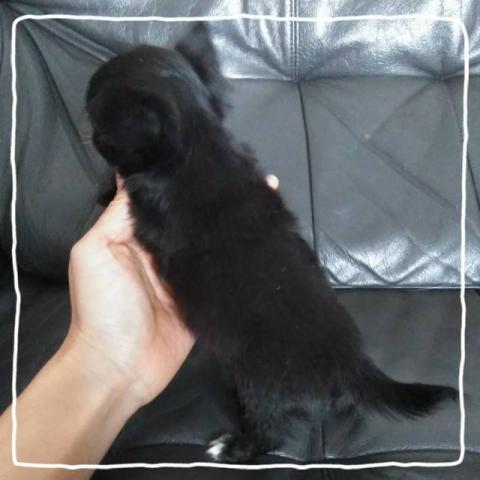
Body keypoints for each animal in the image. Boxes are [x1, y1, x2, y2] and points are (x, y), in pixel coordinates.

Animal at [86, 23, 457, 463]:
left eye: (95, 114)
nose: (89, 130)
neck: (199, 143)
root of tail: (350, 364)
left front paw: (104, 192)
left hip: (260, 386)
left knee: (272, 432)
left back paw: (231, 447)